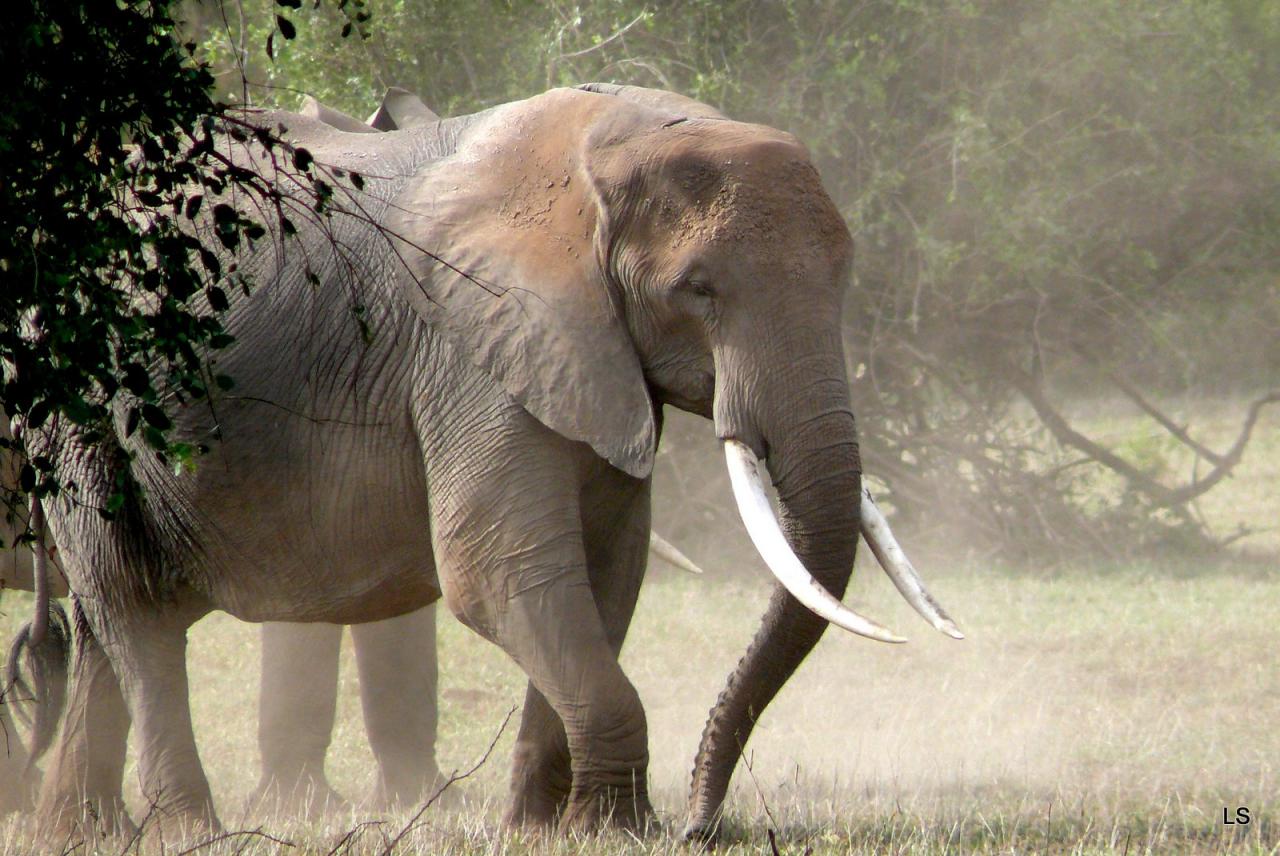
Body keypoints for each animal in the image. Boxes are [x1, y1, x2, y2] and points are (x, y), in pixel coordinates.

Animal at [15, 76, 962, 839]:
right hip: (83, 395)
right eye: (699, 290)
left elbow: (603, 576)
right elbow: (502, 569)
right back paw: (189, 830)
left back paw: (83, 832)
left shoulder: (589, 353)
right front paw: (619, 830)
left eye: (843, 276)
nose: (703, 825)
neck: (606, 151)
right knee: (133, 603)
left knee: (104, 622)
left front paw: (551, 829)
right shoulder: (471, 347)